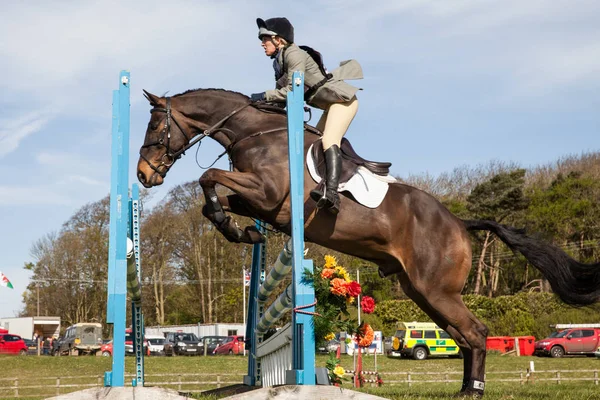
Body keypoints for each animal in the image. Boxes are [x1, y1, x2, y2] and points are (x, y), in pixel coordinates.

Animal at [136, 88, 600, 396]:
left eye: (156, 124)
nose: (143, 174)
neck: (258, 133)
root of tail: (459, 223)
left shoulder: (269, 196)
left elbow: (207, 177)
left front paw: (234, 227)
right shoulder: (258, 199)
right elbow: (210, 194)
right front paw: (239, 229)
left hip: (436, 289)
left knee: (476, 331)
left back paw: (475, 389)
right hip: (422, 291)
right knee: (464, 335)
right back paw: (465, 388)